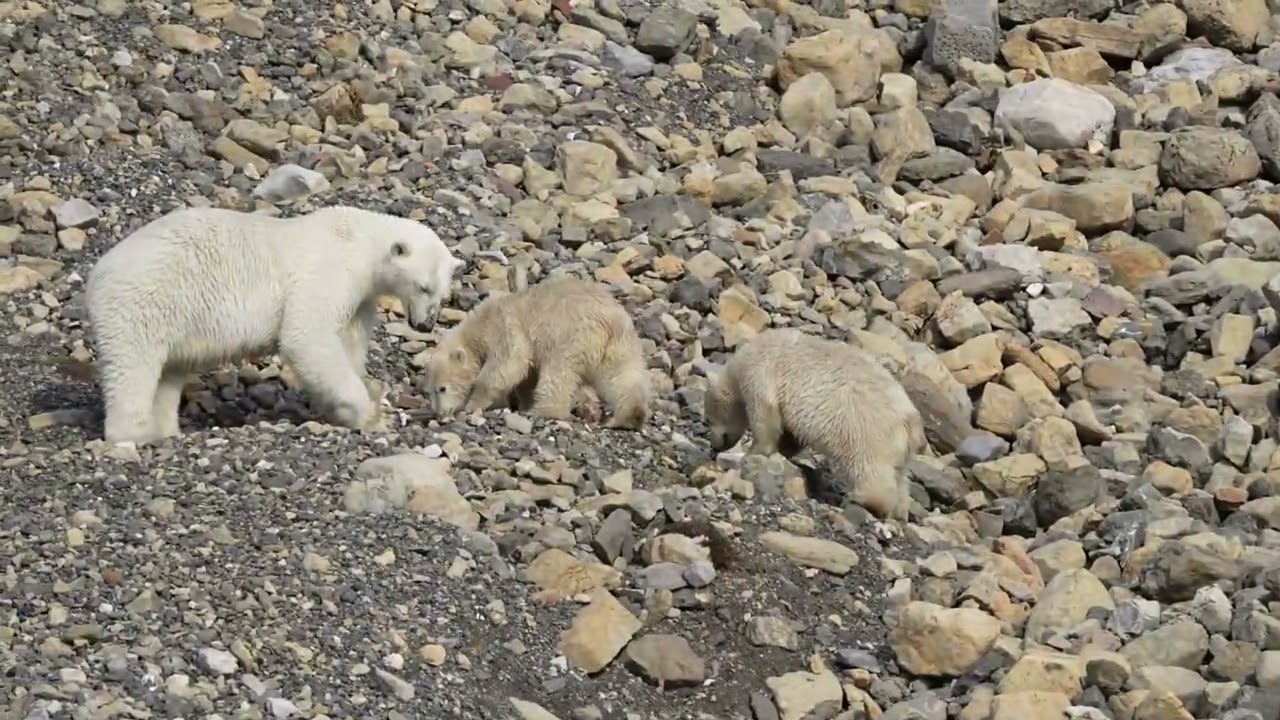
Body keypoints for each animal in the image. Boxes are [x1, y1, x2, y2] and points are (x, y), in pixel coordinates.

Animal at [85, 204, 462, 446]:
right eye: (423, 287)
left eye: (442, 292)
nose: (425, 325)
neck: (358, 241)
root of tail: (98, 272)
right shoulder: (327, 271)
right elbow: (306, 336)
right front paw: (370, 415)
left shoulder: (360, 297)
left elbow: (349, 342)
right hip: (144, 301)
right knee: (133, 366)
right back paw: (132, 435)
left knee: (168, 373)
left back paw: (166, 430)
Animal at [422, 276, 651, 429]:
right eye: (430, 390)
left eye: (441, 389)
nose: (439, 413)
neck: (480, 326)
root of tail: (607, 323)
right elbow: (526, 377)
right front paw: (524, 402)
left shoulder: (506, 328)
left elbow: (507, 364)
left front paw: (473, 404)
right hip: (621, 344)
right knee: (621, 377)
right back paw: (629, 417)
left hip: (571, 337)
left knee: (558, 372)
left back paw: (544, 411)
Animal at [703, 327, 927, 520]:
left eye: (708, 419)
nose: (715, 445)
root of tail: (912, 422)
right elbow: (791, 433)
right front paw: (783, 451)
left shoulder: (760, 372)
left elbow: (765, 416)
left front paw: (753, 452)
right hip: (899, 448)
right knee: (900, 477)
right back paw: (900, 511)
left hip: (866, 429)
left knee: (868, 467)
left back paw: (860, 499)